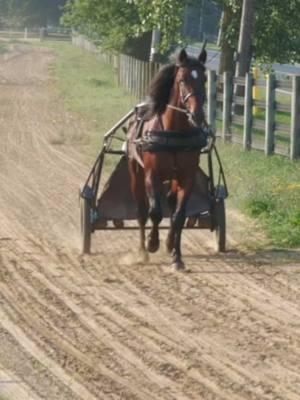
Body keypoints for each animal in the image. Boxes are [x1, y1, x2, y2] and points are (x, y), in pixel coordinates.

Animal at [127, 48, 207, 270]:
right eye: (182, 79)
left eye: (204, 79)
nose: (197, 114)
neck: (174, 133)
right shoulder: (151, 175)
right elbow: (155, 212)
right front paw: (152, 243)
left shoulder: (186, 177)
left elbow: (179, 216)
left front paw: (176, 256)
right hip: (135, 173)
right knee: (142, 211)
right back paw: (142, 250)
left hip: (172, 178)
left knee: (171, 202)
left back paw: (170, 243)